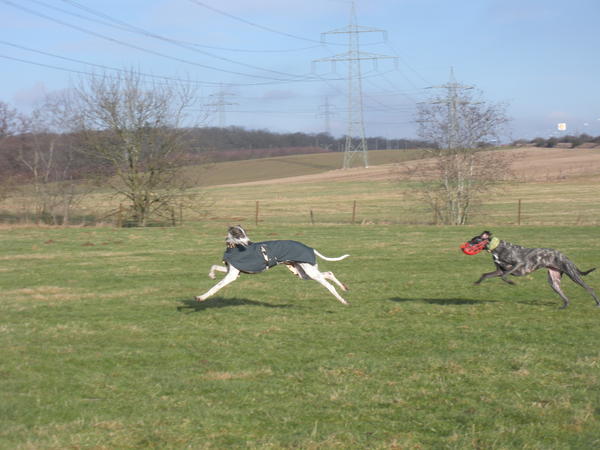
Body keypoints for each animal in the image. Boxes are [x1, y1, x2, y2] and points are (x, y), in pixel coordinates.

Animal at [196, 227, 352, 304]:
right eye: (239, 233)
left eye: (245, 233)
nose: (250, 243)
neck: (233, 248)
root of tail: (310, 248)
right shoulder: (233, 270)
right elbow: (214, 266)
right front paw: (211, 274)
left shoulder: (232, 275)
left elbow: (215, 287)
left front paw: (201, 297)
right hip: (304, 273)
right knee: (329, 273)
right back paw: (344, 287)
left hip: (309, 271)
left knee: (329, 284)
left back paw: (343, 300)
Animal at [468, 230, 600, 308]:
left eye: (474, 240)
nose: (466, 244)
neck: (497, 247)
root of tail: (564, 256)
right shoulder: (499, 270)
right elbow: (485, 275)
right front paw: (476, 283)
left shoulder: (518, 264)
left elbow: (504, 276)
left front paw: (512, 282)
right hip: (553, 281)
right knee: (564, 296)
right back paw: (564, 306)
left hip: (573, 275)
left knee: (590, 288)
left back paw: (597, 303)